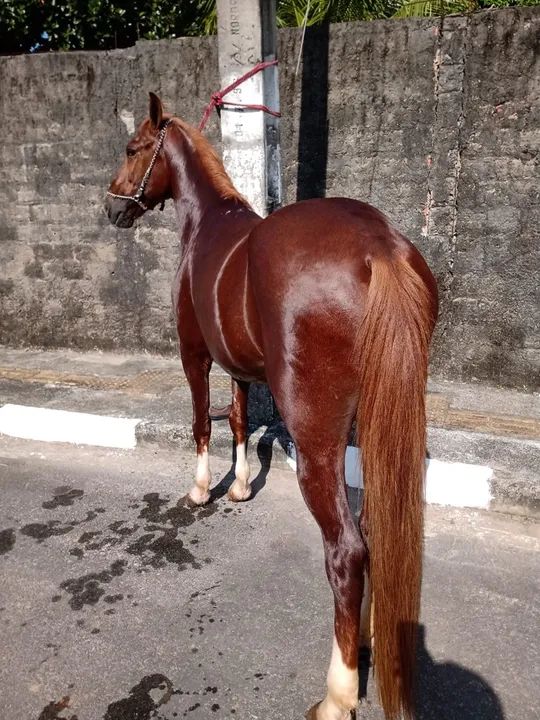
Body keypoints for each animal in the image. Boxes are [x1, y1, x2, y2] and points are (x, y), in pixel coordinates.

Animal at [105, 92, 438, 720]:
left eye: (134, 148)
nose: (112, 207)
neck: (208, 223)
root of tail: (379, 247)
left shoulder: (195, 356)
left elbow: (200, 422)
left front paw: (201, 489)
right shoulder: (239, 365)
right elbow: (238, 419)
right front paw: (238, 486)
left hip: (316, 441)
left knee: (347, 551)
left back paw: (338, 693)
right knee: (373, 533)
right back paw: (369, 638)